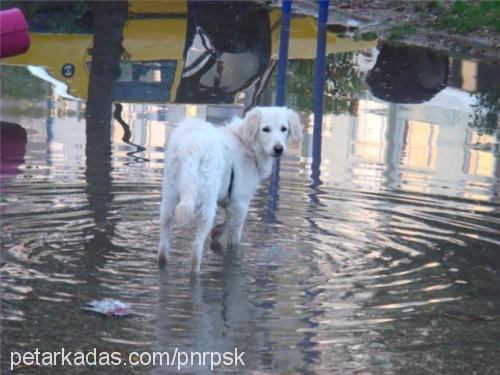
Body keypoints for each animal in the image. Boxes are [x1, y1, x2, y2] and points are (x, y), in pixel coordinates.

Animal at [158, 106, 302, 274]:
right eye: (266, 129)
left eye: (284, 129)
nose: (278, 149)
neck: (247, 144)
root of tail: (192, 144)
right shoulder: (241, 202)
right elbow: (234, 239)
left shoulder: (230, 201)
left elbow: (227, 221)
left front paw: (217, 231)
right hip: (206, 205)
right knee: (196, 249)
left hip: (170, 198)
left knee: (163, 247)